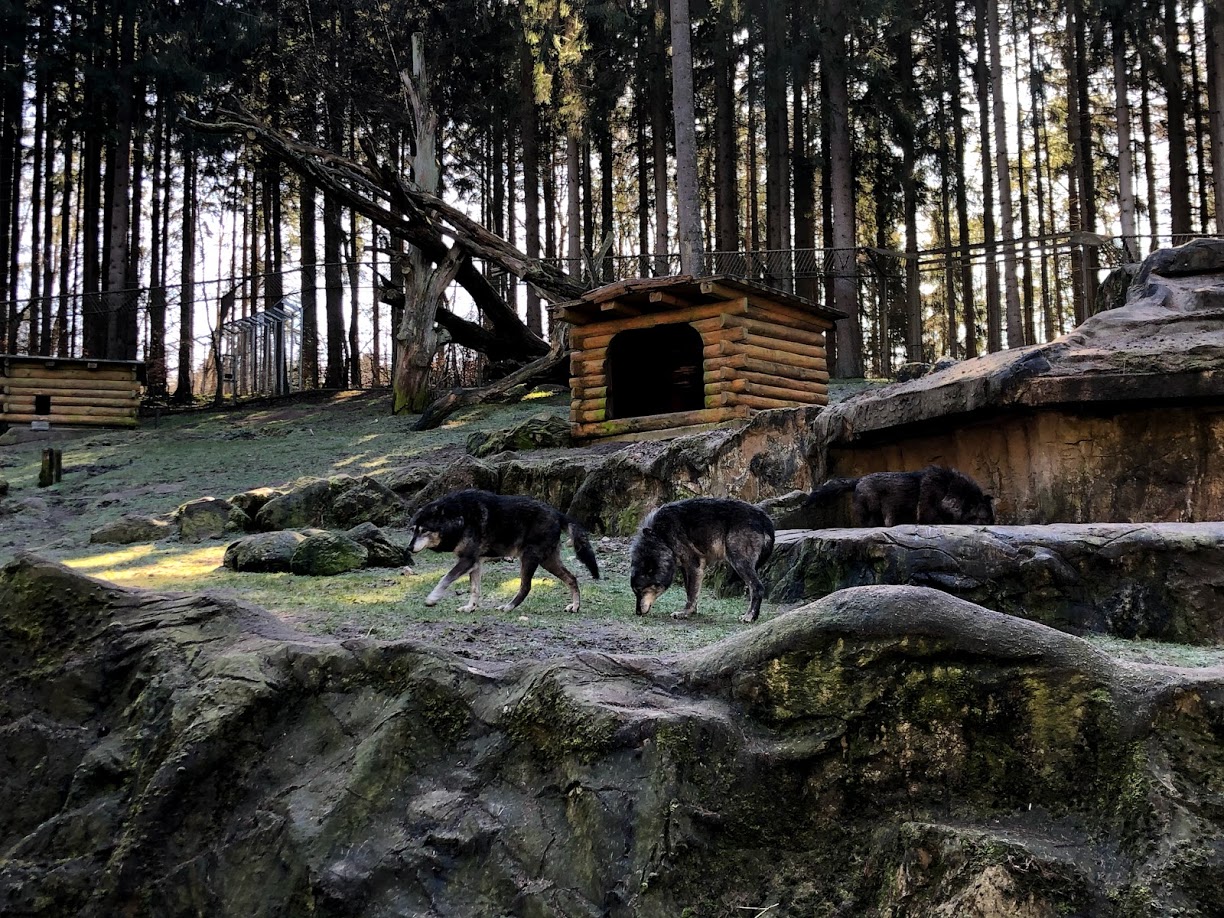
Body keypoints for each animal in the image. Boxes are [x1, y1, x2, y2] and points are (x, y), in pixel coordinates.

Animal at [407, 489, 600, 613]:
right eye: (413, 530)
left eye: (424, 530)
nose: (408, 548)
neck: (459, 517)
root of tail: (557, 513)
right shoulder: (475, 563)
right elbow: (474, 590)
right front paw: (470, 608)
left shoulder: (467, 560)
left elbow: (444, 579)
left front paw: (432, 599)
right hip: (548, 562)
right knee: (572, 578)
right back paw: (575, 606)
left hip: (529, 559)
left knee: (526, 587)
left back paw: (508, 607)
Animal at [630, 497, 776, 624]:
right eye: (635, 592)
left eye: (641, 590)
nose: (637, 612)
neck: (659, 537)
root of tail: (764, 518)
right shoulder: (686, 567)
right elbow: (691, 591)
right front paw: (692, 611)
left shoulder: (693, 565)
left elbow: (690, 593)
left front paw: (685, 613)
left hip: (738, 562)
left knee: (757, 587)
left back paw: (750, 616)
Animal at [803, 466, 995, 527]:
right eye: (985, 519)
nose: (994, 523)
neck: (948, 489)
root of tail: (859, 479)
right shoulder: (928, 510)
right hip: (872, 508)